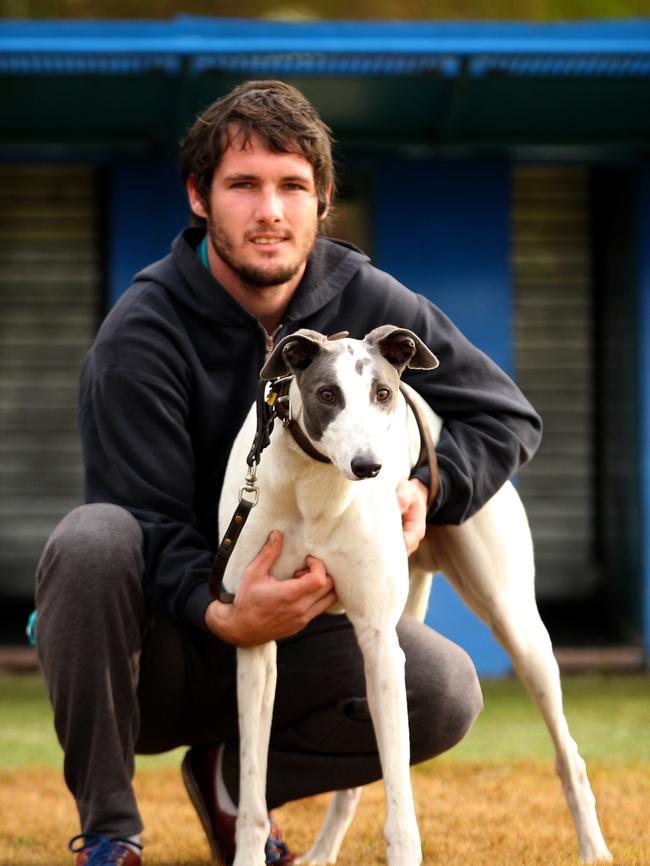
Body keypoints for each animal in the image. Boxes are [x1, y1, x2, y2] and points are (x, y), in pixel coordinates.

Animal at [215, 324, 612, 864]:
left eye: (383, 394)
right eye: (327, 394)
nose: (369, 467)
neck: (317, 486)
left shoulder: (381, 642)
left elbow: (400, 800)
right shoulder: (255, 633)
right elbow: (254, 792)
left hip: (518, 628)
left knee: (567, 753)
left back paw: (593, 846)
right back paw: (322, 851)